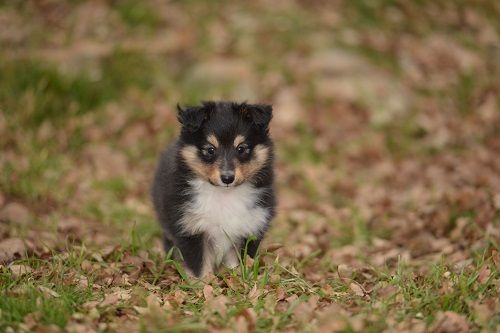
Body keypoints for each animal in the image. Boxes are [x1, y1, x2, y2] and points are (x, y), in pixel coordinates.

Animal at [152, 100, 278, 276]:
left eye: (241, 148)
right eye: (210, 149)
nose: (227, 178)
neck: (224, 195)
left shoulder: (250, 227)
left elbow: (238, 260)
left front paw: (238, 277)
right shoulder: (190, 228)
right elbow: (199, 264)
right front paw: (204, 282)